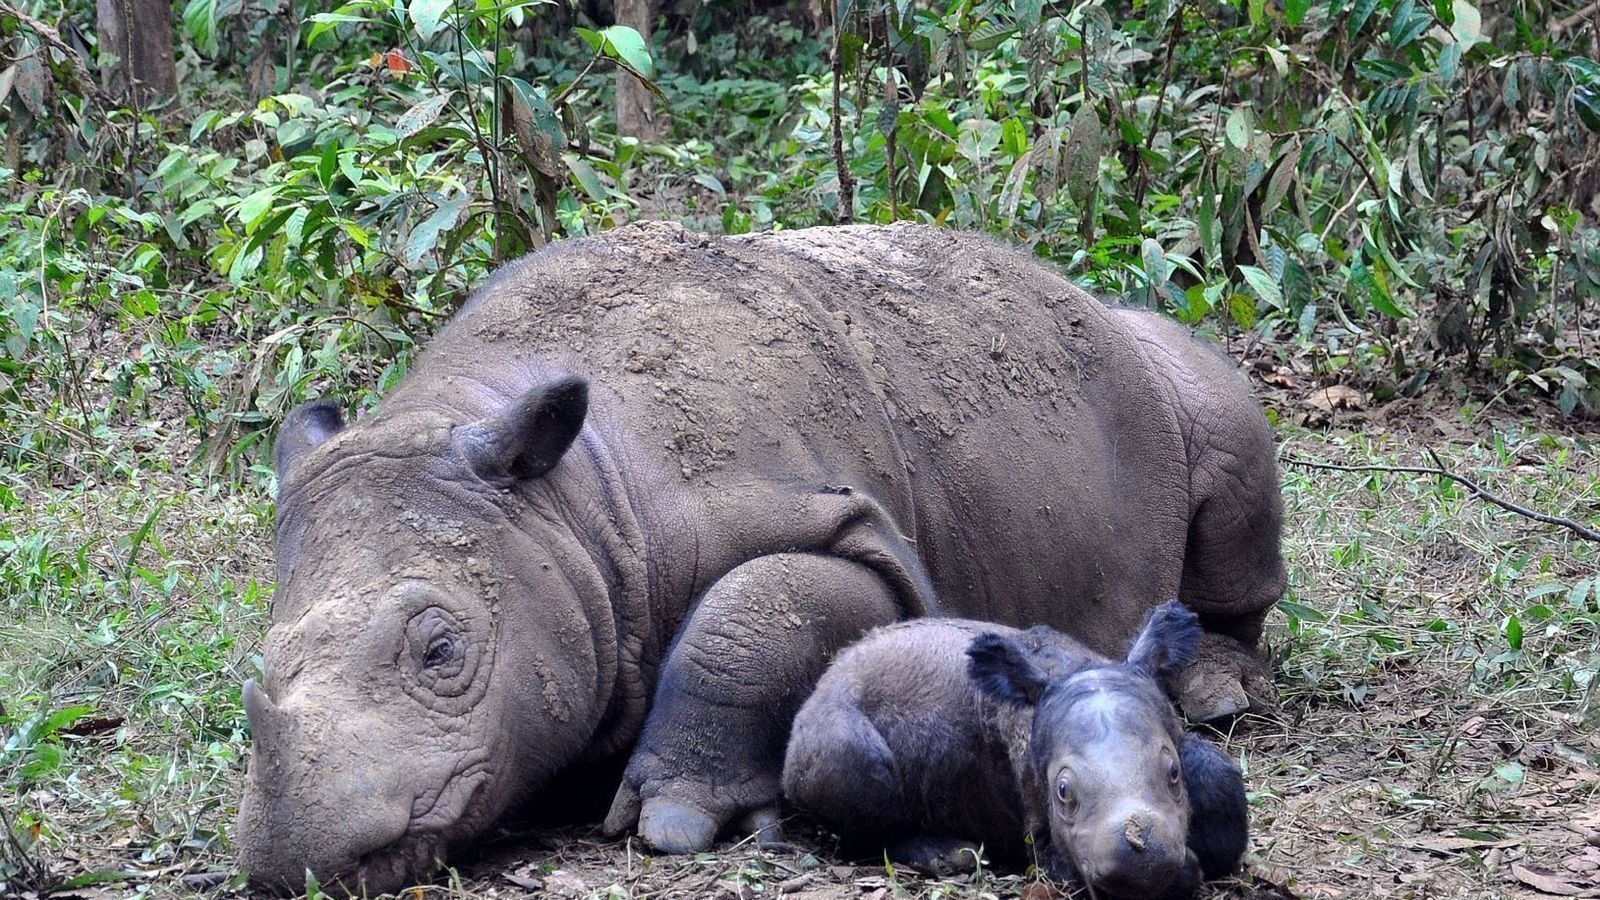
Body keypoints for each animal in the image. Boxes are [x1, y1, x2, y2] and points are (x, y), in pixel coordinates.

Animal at [782, 604, 1250, 899]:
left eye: (1173, 773)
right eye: (1063, 792)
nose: (1142, 863)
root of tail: (821, 682)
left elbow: (1220, 782)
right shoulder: (1043, 838)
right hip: (826, 734)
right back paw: (946, 855)